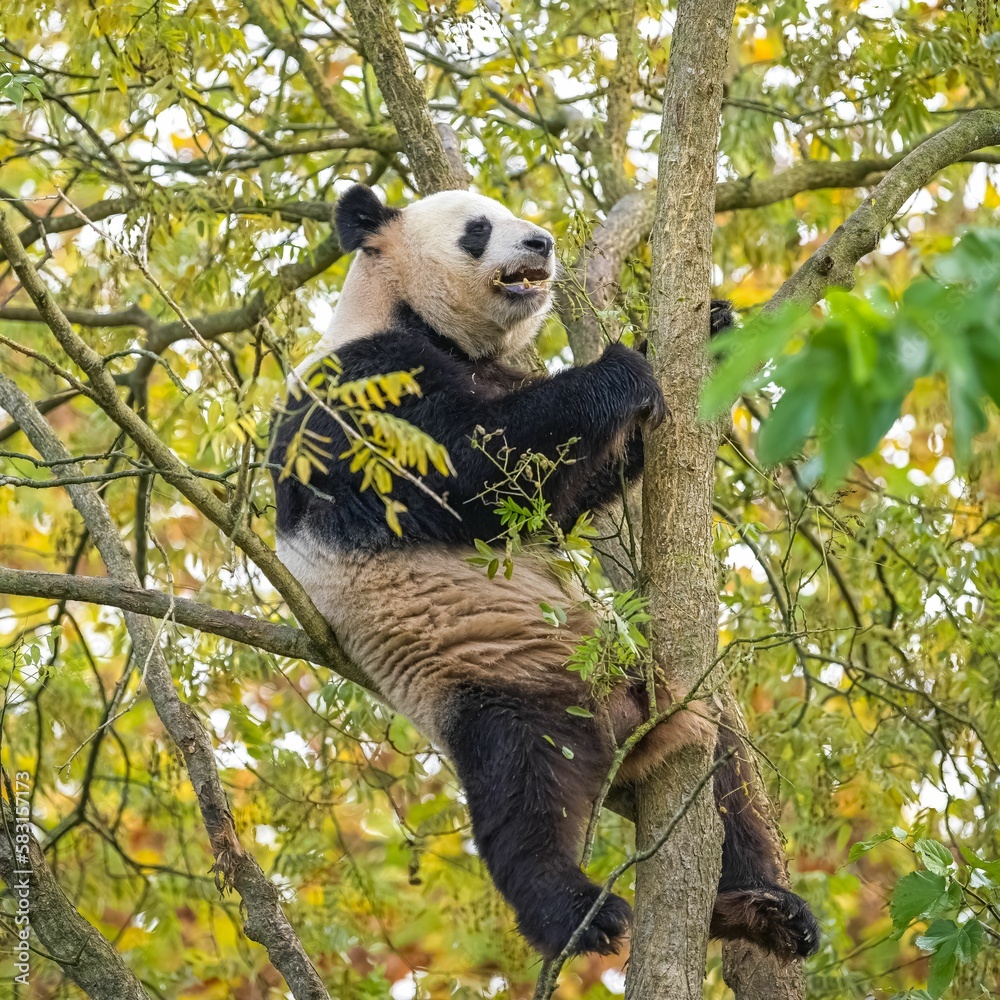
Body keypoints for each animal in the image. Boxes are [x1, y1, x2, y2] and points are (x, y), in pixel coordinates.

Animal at [270, 184, 819, 961]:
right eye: (478, 228)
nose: (541, 243)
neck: (402, 311)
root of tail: (615, 728)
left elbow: (554, 499)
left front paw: (711, 331)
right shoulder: (359, 389)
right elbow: (470, 467)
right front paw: (620, 367)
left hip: (656, 690)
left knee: (725, 779)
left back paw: (762, 907)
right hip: (490, 678)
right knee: (524, 798)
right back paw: (582, 915)